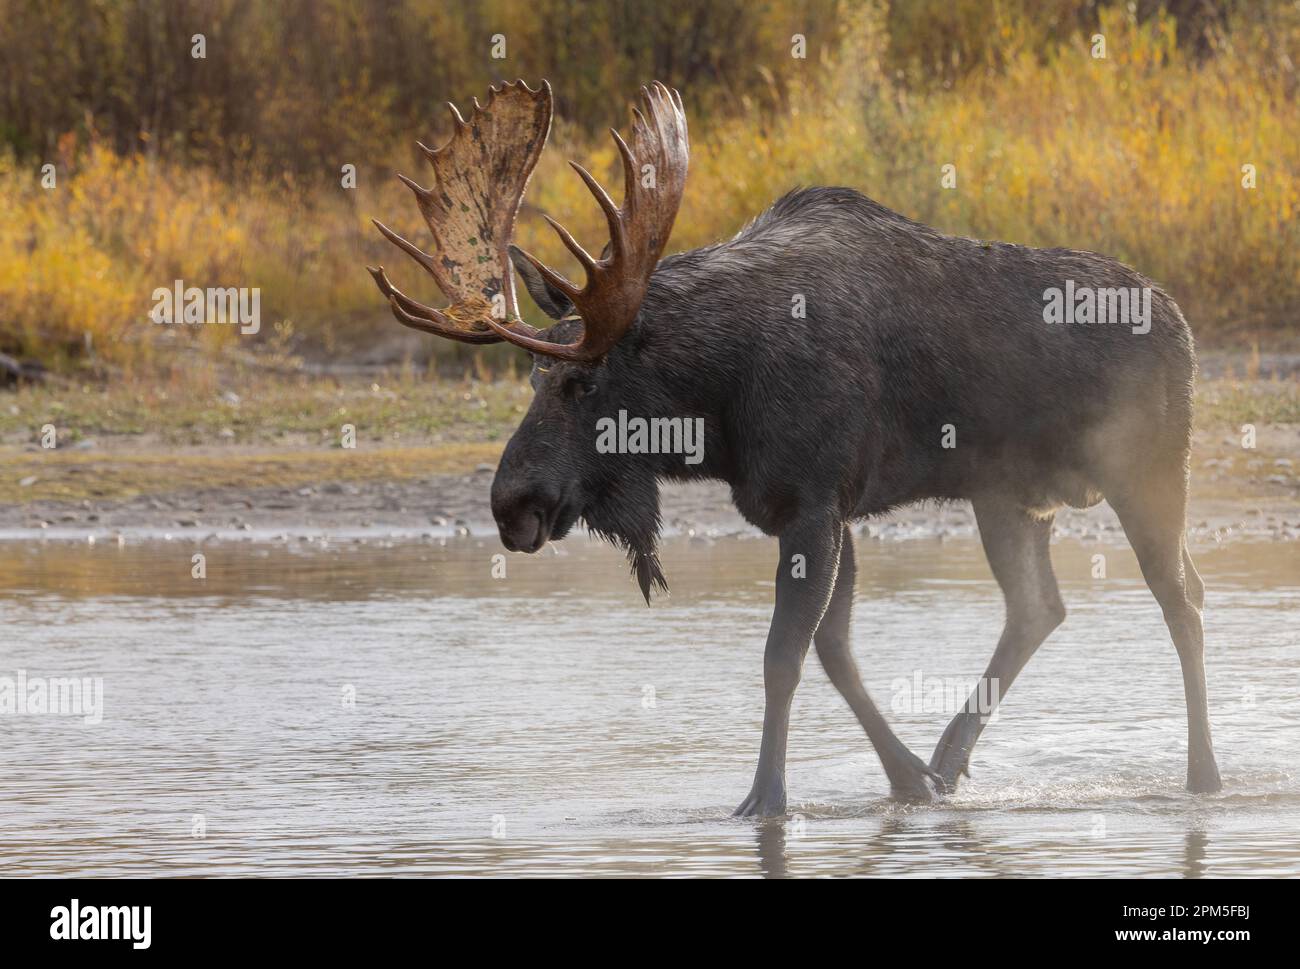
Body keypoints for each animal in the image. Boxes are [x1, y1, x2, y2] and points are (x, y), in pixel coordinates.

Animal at [366, 79, 1222, 817]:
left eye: (582, 382)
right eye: (533, 375)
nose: (510, 503)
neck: (718, 405)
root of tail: (1185, 321)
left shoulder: (813, 505)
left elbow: (784, 656)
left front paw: (765, 799)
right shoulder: (826, 510)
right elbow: (835, 650)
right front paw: (908, 780)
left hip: (1150, 471)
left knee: (1181, 599)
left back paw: (1203, 774)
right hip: (1005, 496)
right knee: (1041, 605)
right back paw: (949, 758)